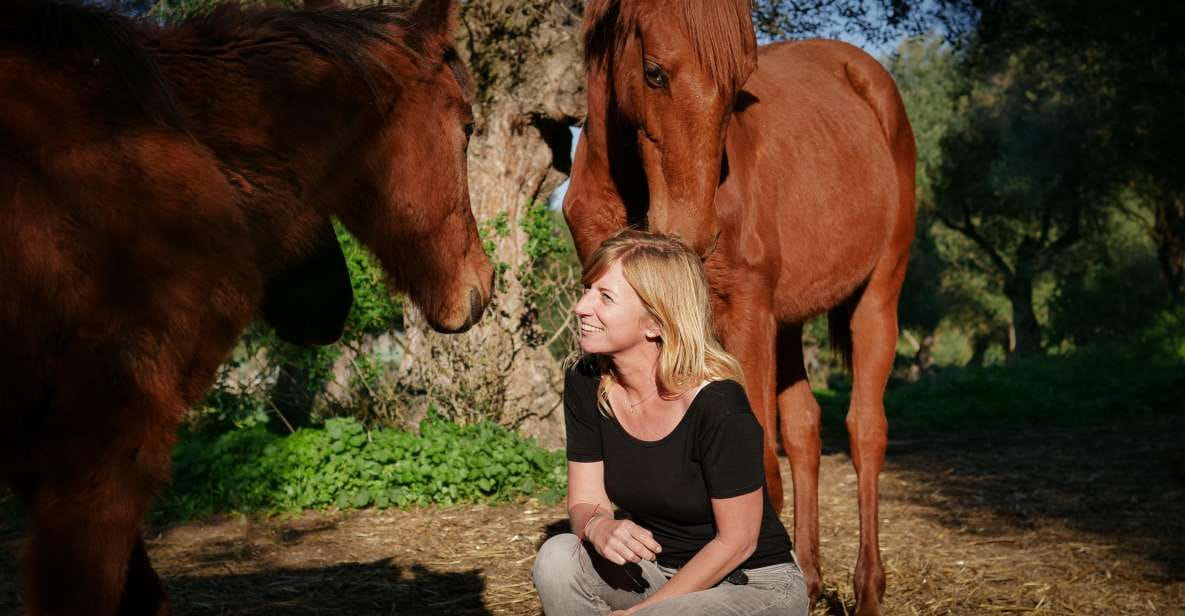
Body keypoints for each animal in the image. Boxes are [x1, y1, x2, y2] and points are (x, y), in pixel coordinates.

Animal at [562, 1, 916, 614]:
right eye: (654, 72)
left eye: (736, 88)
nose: (693, 234)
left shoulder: (745, 311)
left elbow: (761, 480)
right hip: (790, 323)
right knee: (804, 429)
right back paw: (812, 581)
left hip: (877, 297)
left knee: (865, 430)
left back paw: (868, 589)